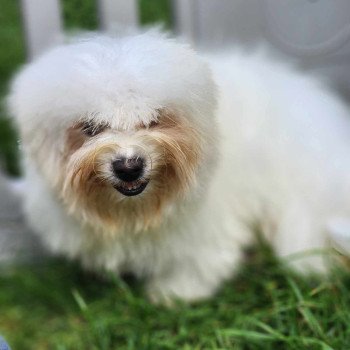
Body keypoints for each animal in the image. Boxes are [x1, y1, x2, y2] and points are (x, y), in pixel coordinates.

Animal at [6, 30, 350, 304]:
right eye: (90, 127)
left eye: (154, 119)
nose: (129, 166)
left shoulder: (208, 223)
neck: (132, 211)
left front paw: (174, 293)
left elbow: (199, 260)